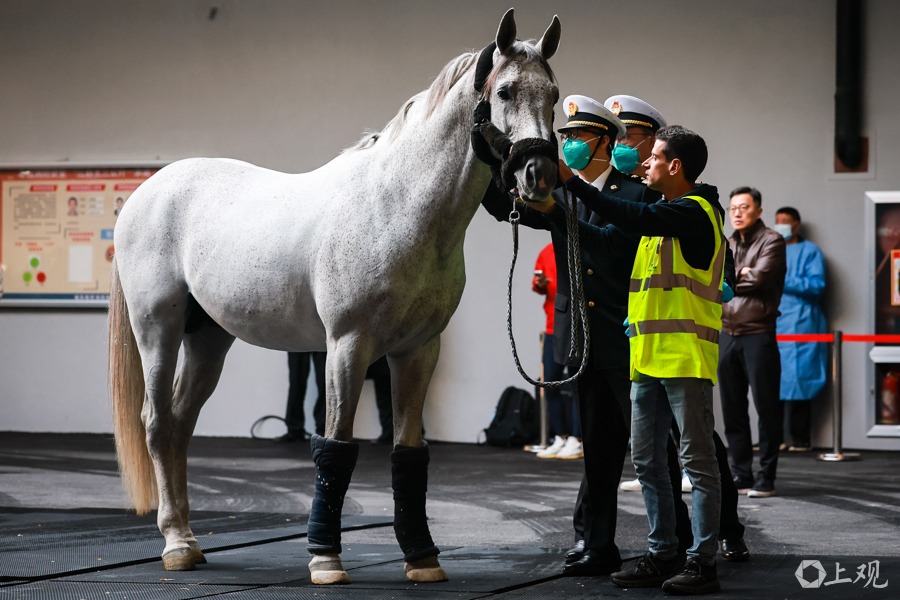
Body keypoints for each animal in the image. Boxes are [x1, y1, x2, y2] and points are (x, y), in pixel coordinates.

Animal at [108, 9, 561, 584]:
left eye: (553, 93)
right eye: (504, 91)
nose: (539, 176)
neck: (396, 208)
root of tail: (147, 190)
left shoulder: (417, 350)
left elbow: (408, 451)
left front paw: (423, 558)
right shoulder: (347, 345)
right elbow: (335, 448)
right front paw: (325, 559)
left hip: (209, 338)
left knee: (181, 425)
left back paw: (189, 538)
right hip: (157, 330)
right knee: (158, 422)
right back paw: (175, 544)